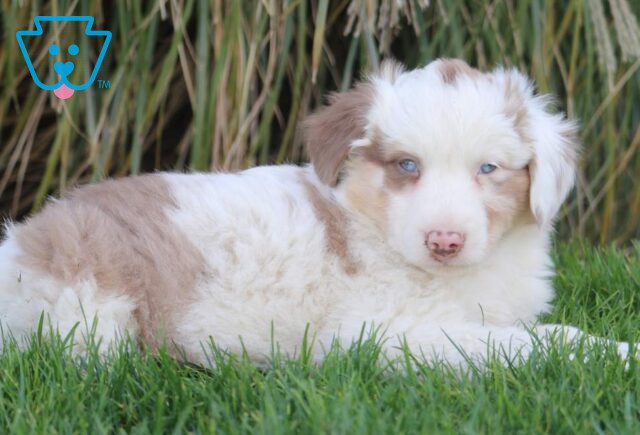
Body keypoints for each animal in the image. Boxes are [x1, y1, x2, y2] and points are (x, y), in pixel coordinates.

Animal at [0, 58, 632, 364]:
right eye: (407, 166)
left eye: (488, 169)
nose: (444, 241)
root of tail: (21, 240)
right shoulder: (386, 331)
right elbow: (523, 345)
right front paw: (620, 354)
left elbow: (534, 332)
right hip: (90, 302)